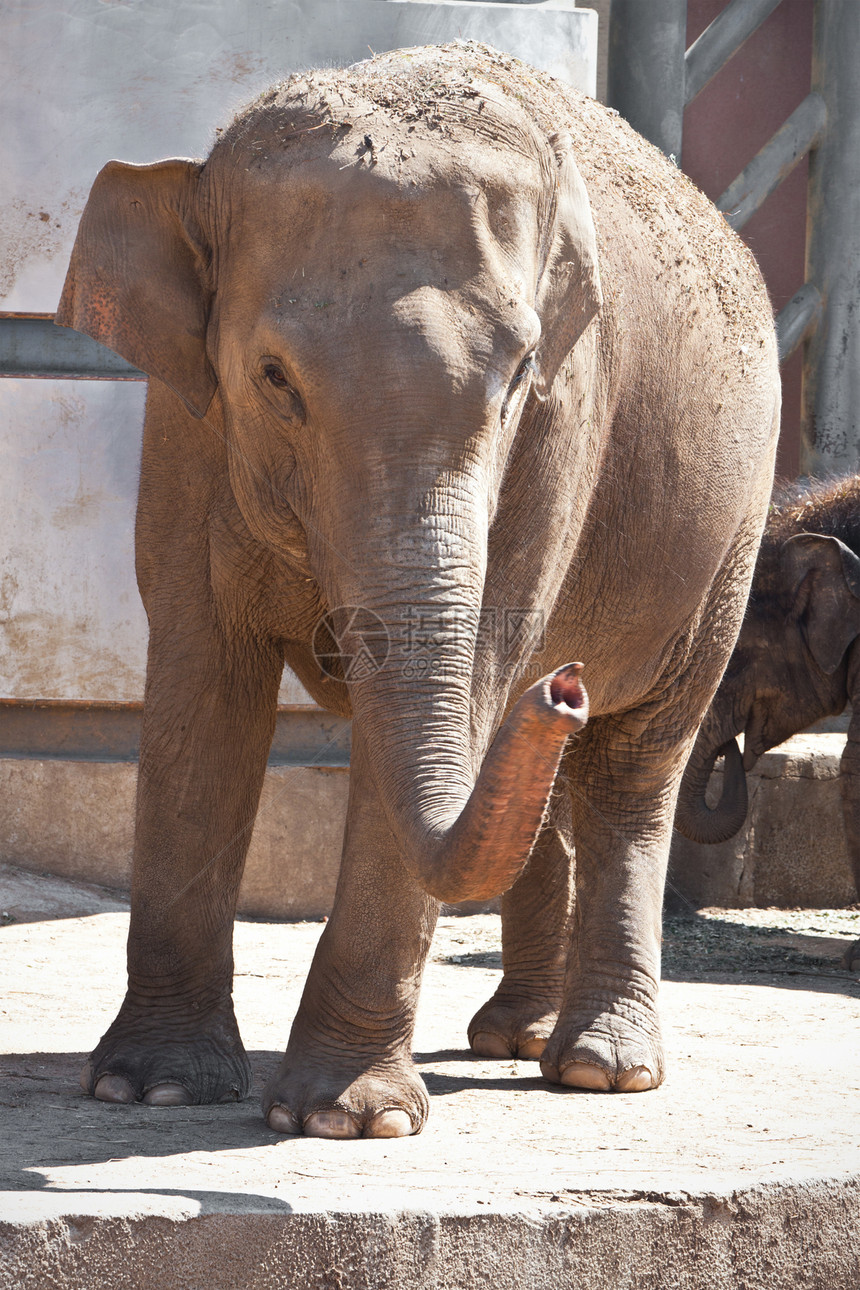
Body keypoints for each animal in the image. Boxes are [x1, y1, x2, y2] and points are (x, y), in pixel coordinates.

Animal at [53, 45, 778, 1145]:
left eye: (518, 373)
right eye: (273, 377)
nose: (563, 687)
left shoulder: (562, 429)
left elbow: (480, 672)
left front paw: (347, 1121)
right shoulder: (185, 425)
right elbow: (199, 681)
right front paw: (151, 1088)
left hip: (727, 538)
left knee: (635, 768)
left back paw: (597, 1069)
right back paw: (514, 1036)